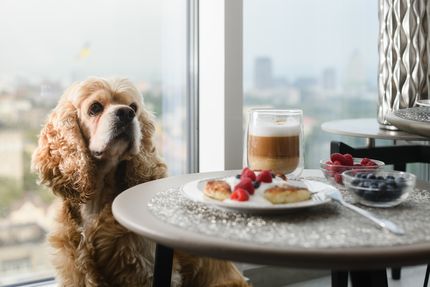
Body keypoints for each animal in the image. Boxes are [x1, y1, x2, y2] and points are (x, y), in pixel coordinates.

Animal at [31, 78, 249, 287]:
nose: (126, 113)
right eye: (95, 108)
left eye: (133, 107)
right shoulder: (74, 271)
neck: (96, 200)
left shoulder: (143, 269)